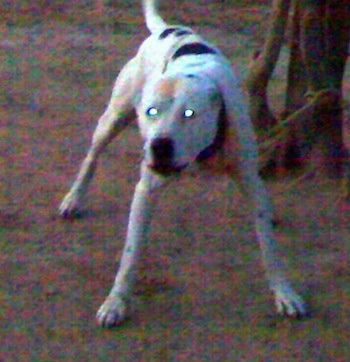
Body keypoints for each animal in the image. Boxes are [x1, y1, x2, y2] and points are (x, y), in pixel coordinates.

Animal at [58, 0, 304, 328]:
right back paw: (73, 198)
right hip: (113, 118)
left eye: (189, 113)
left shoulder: (249, 178)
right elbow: (130, 254)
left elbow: (269, 245)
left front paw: (284, 292)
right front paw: (116, 301)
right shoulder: (146, 189)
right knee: (91, 157)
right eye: (150, 112)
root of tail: (165, 29)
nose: (159, 146)